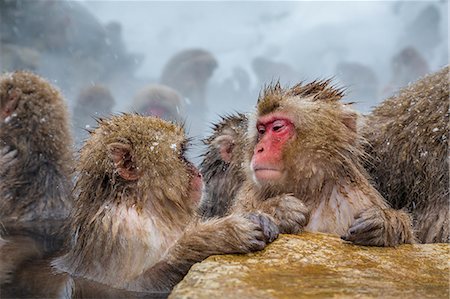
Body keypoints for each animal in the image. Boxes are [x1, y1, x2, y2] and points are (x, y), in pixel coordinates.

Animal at [4, 114, 278, 298]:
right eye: (181, 155)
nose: (197, 172)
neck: (148, 207)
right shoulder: (122, 231)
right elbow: (137, 284)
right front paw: (225, 234)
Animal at [230, 81, 416, 247]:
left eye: (277, 127)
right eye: (261, 131)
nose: (259, 149)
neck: (309, 188)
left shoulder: (360, 198)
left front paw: (384, 224)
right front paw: (278, 210)